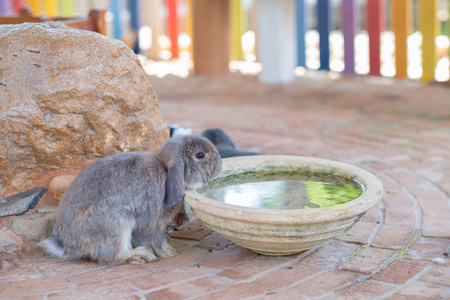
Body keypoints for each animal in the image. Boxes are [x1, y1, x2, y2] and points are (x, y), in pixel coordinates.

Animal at [43, 135, 222, 264]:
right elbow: (155, 239)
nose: (219, 167)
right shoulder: (152, 222)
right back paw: (140, 255)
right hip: (119, 224)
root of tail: (66, 245)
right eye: (200, 155)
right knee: (112, 258)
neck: (165, 169)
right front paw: (168, 253)